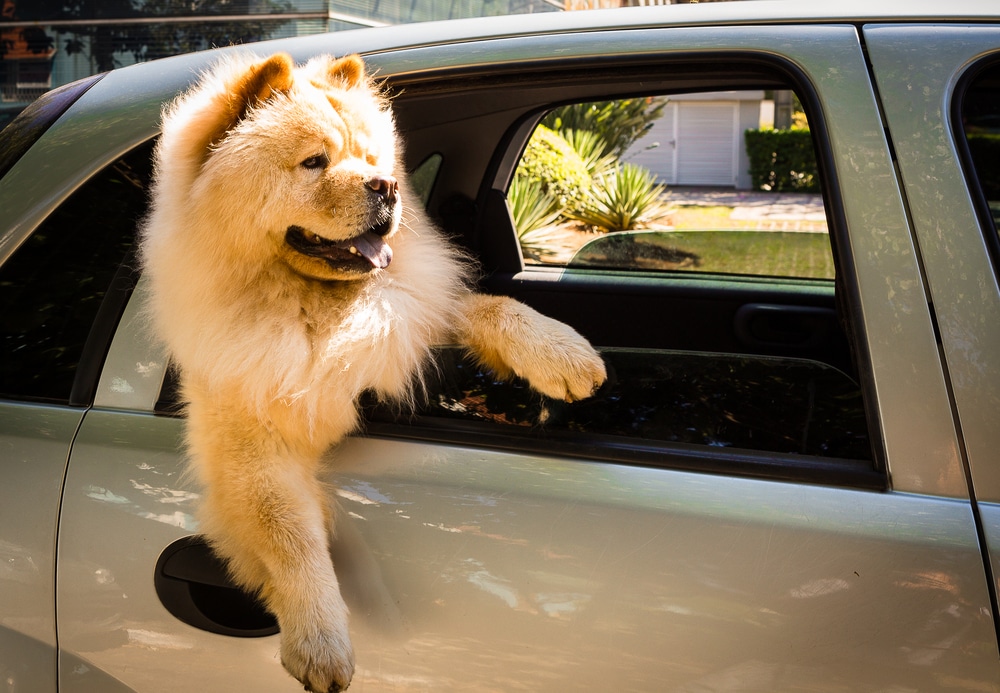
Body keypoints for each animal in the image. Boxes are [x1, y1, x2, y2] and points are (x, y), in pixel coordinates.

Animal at [141, 51, 604, 688]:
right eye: (314, 161)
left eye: (371, 160)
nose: (387, 187)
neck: (313, 310)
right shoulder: (250, 439)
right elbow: (289, 536)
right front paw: (319, 643)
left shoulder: (406, 316)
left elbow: (488, 307)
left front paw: (566, 355)